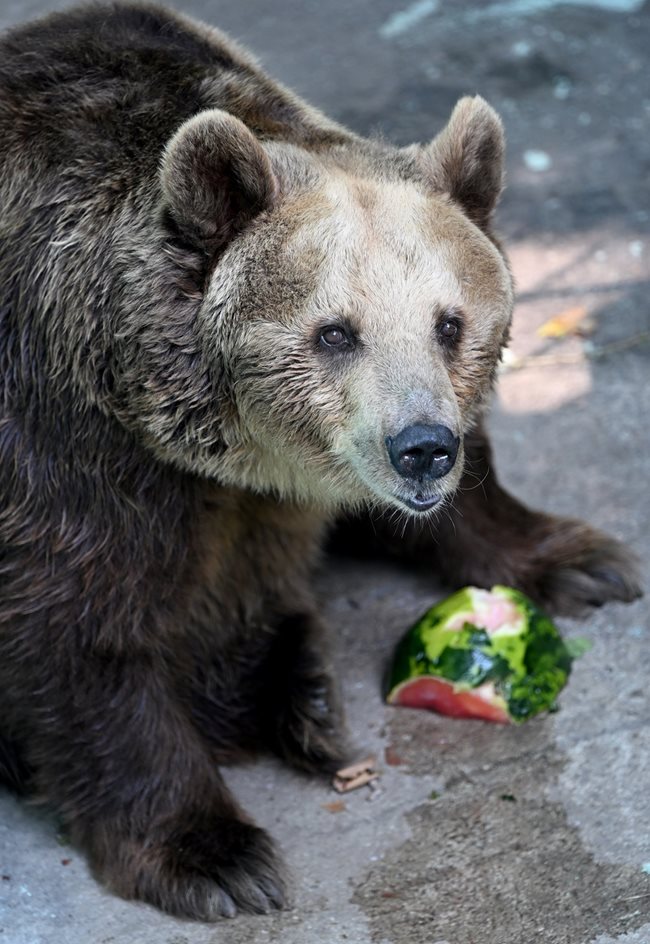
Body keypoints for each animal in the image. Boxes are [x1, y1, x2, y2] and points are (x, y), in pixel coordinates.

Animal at [0, 0, 636, 920]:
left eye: (449, 323)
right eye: (335, 332)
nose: (421, 449)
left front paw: (579, 558)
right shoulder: (66, 440)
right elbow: (80, 631)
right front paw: (216, 854)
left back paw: (296, 687)